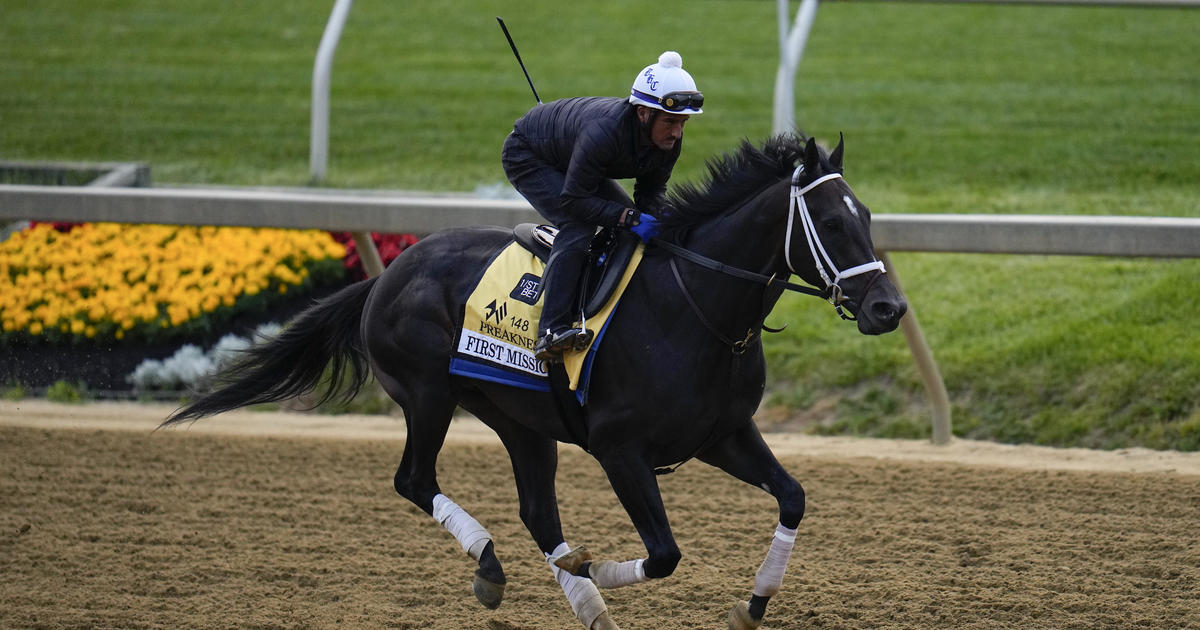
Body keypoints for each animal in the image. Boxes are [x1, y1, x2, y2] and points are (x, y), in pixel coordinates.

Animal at [164, 133, 902, 628]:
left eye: (868, 217)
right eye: (830, 222)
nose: (888, 308)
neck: (695, 306)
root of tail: (389, 275)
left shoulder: (723, 433)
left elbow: (793, 498)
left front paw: (751, 605)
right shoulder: (619, 448)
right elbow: (664, 553)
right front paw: (587, 565)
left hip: (521, 419)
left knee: (537, 510)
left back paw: (587, 606)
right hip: (429, 395)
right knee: (414, 480)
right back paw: (494, 568)